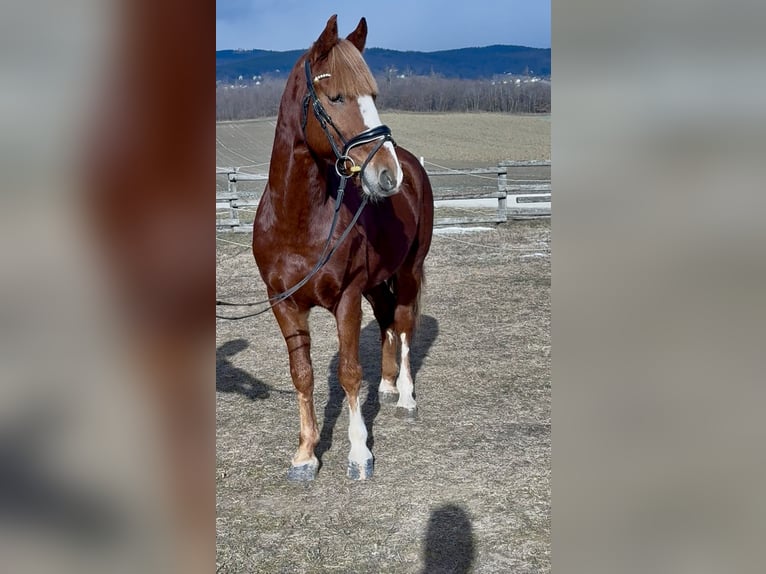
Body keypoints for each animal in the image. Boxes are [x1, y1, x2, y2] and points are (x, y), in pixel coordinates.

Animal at [252, 15, 434, 482]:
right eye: (336, 97)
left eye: (373, 96)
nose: (387, 175)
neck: (298, 222)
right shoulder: (283, 304)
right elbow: (302, 374)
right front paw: (305, 455)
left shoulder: (347, 298)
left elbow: (350, 373)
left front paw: (359, 453)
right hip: (377, 282)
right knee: (386, 319)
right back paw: (385, 384)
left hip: (408, 270)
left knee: (403, 324)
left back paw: (405, 395)